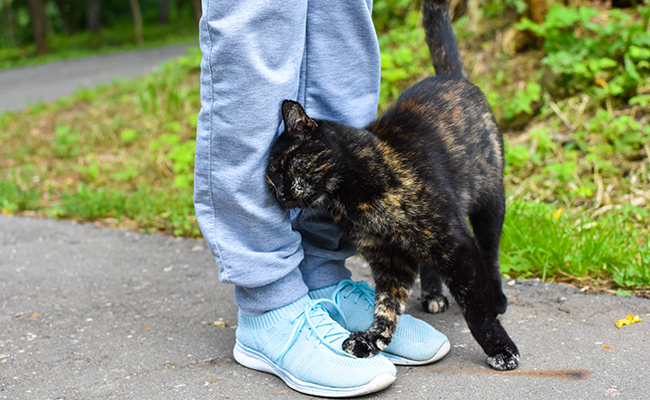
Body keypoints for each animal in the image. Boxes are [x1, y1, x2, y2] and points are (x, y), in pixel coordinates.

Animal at [266, 0, 520, 370]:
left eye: (286, 165)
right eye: (271, 179)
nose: (282, 193)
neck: (351, 199)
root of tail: (453, 77)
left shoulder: (454, 242)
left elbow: (475, 307)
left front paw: (499, 346)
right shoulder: (388, 257)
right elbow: (386, 305)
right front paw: (372, 340)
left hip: (490, 200)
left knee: (490, 250)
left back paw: (497, 295)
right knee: (430, 262)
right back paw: (433, 294)